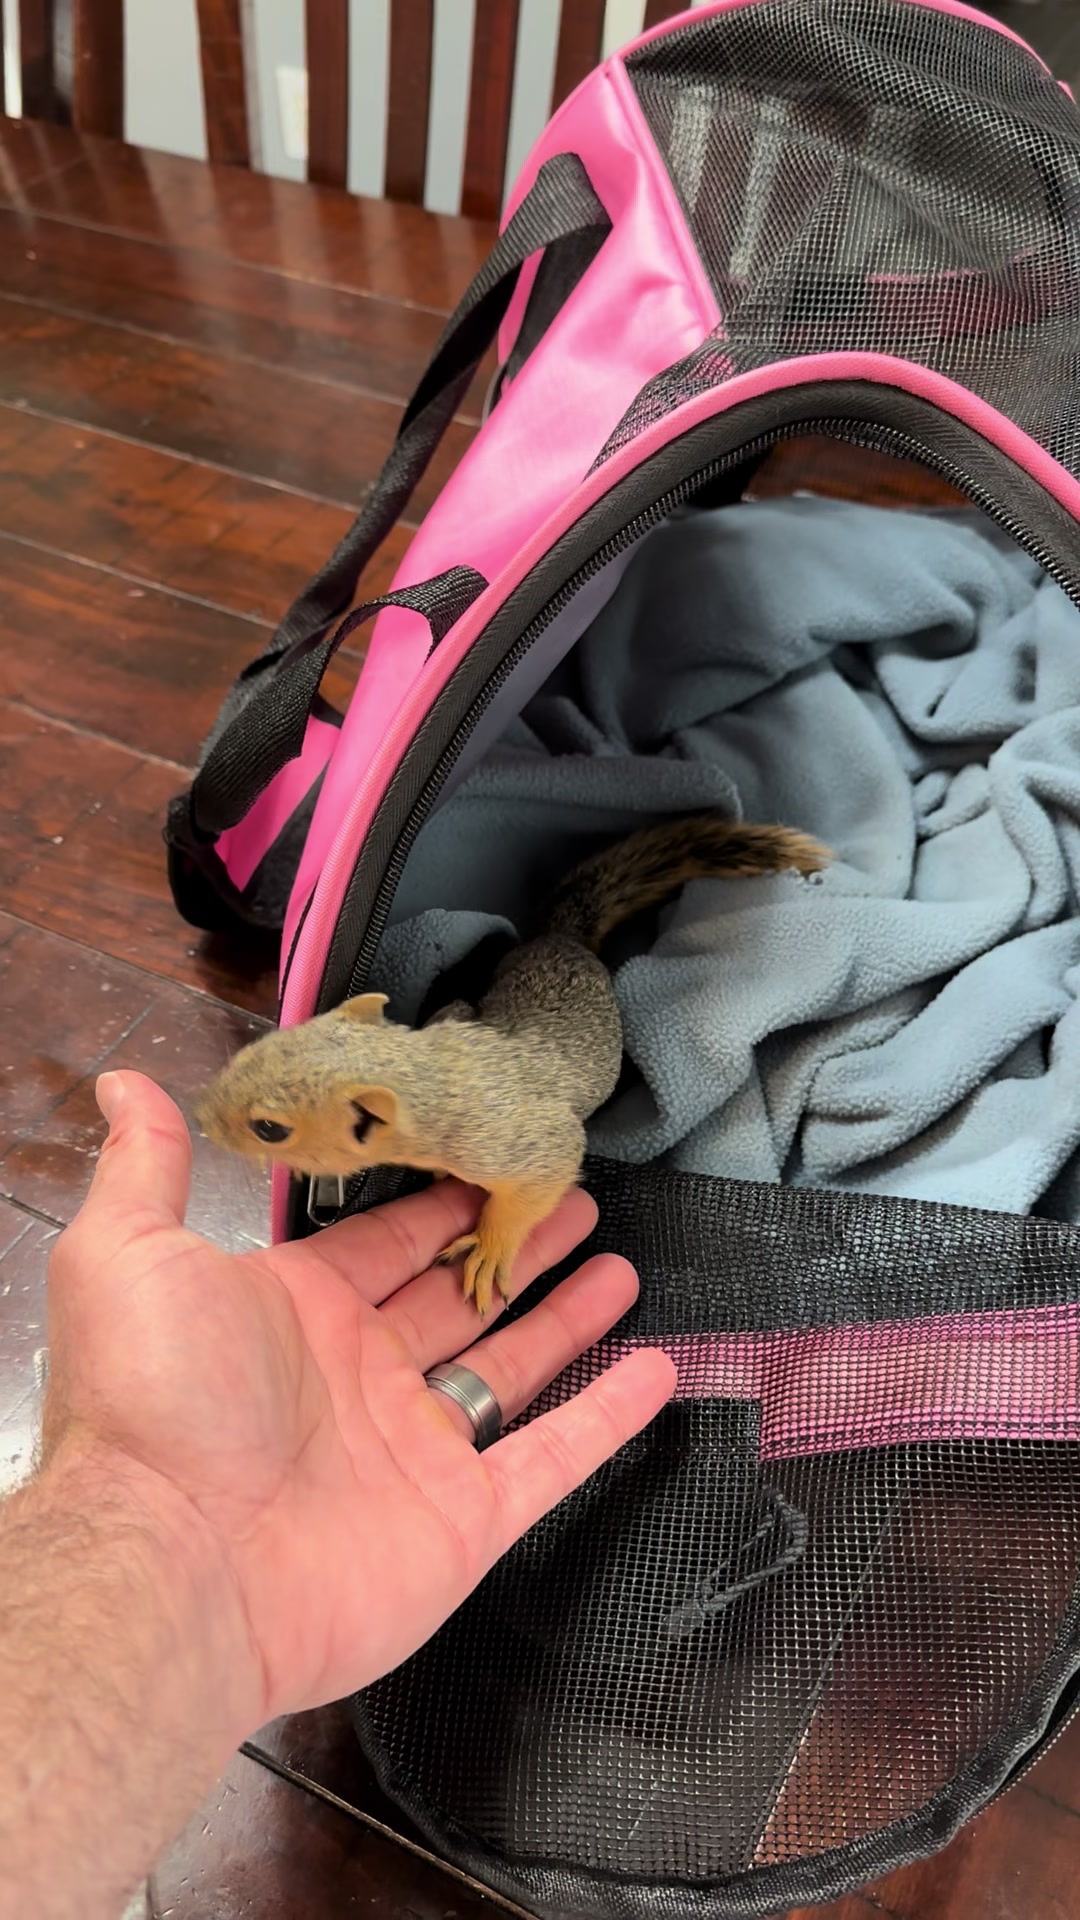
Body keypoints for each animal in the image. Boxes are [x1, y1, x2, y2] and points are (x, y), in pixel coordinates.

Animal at [196, 815, 830, 1315]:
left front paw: (491, 1245)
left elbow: (541, 1180)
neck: (429, 1072)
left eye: (269, 1128)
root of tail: (564, 939)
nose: (201, 1120)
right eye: (263, 1047)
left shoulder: (521, 1142)